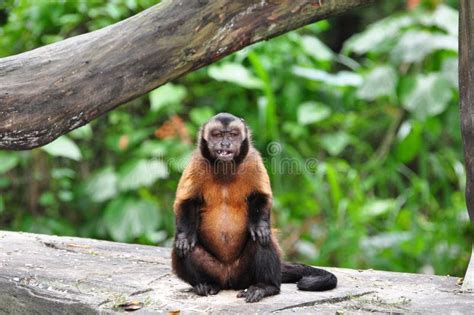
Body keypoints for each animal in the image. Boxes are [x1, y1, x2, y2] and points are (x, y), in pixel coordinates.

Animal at [170, 113, 336, 304]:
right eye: (218, 135)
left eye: (233, 135)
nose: (225, 144)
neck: (225, 168)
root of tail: (228, 278)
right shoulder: (197, 162)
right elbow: (186, 201)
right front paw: (184, 237)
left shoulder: (252, 159)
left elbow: (261, 197)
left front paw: (259, 227)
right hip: (217, 271)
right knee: (183, 250)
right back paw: (206, 284)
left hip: (245, 275)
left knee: (263, 240)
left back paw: (266, 286)